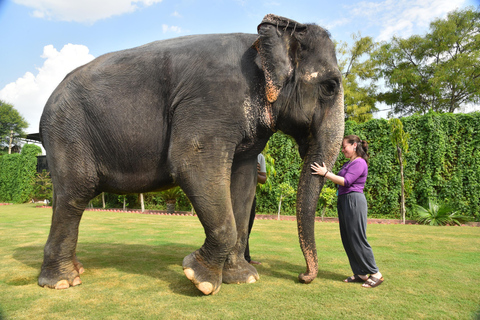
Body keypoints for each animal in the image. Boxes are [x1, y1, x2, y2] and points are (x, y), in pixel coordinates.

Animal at [38, 14, 344, 296]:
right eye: (330, 87)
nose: (303, 277)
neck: (259, 44)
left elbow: (243, 184)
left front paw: (243, 278)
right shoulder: (211, 102)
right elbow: (191, 164)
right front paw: (200, 279)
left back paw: (75, 270)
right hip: (67, 131)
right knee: (76, 192)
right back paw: (63, 282)